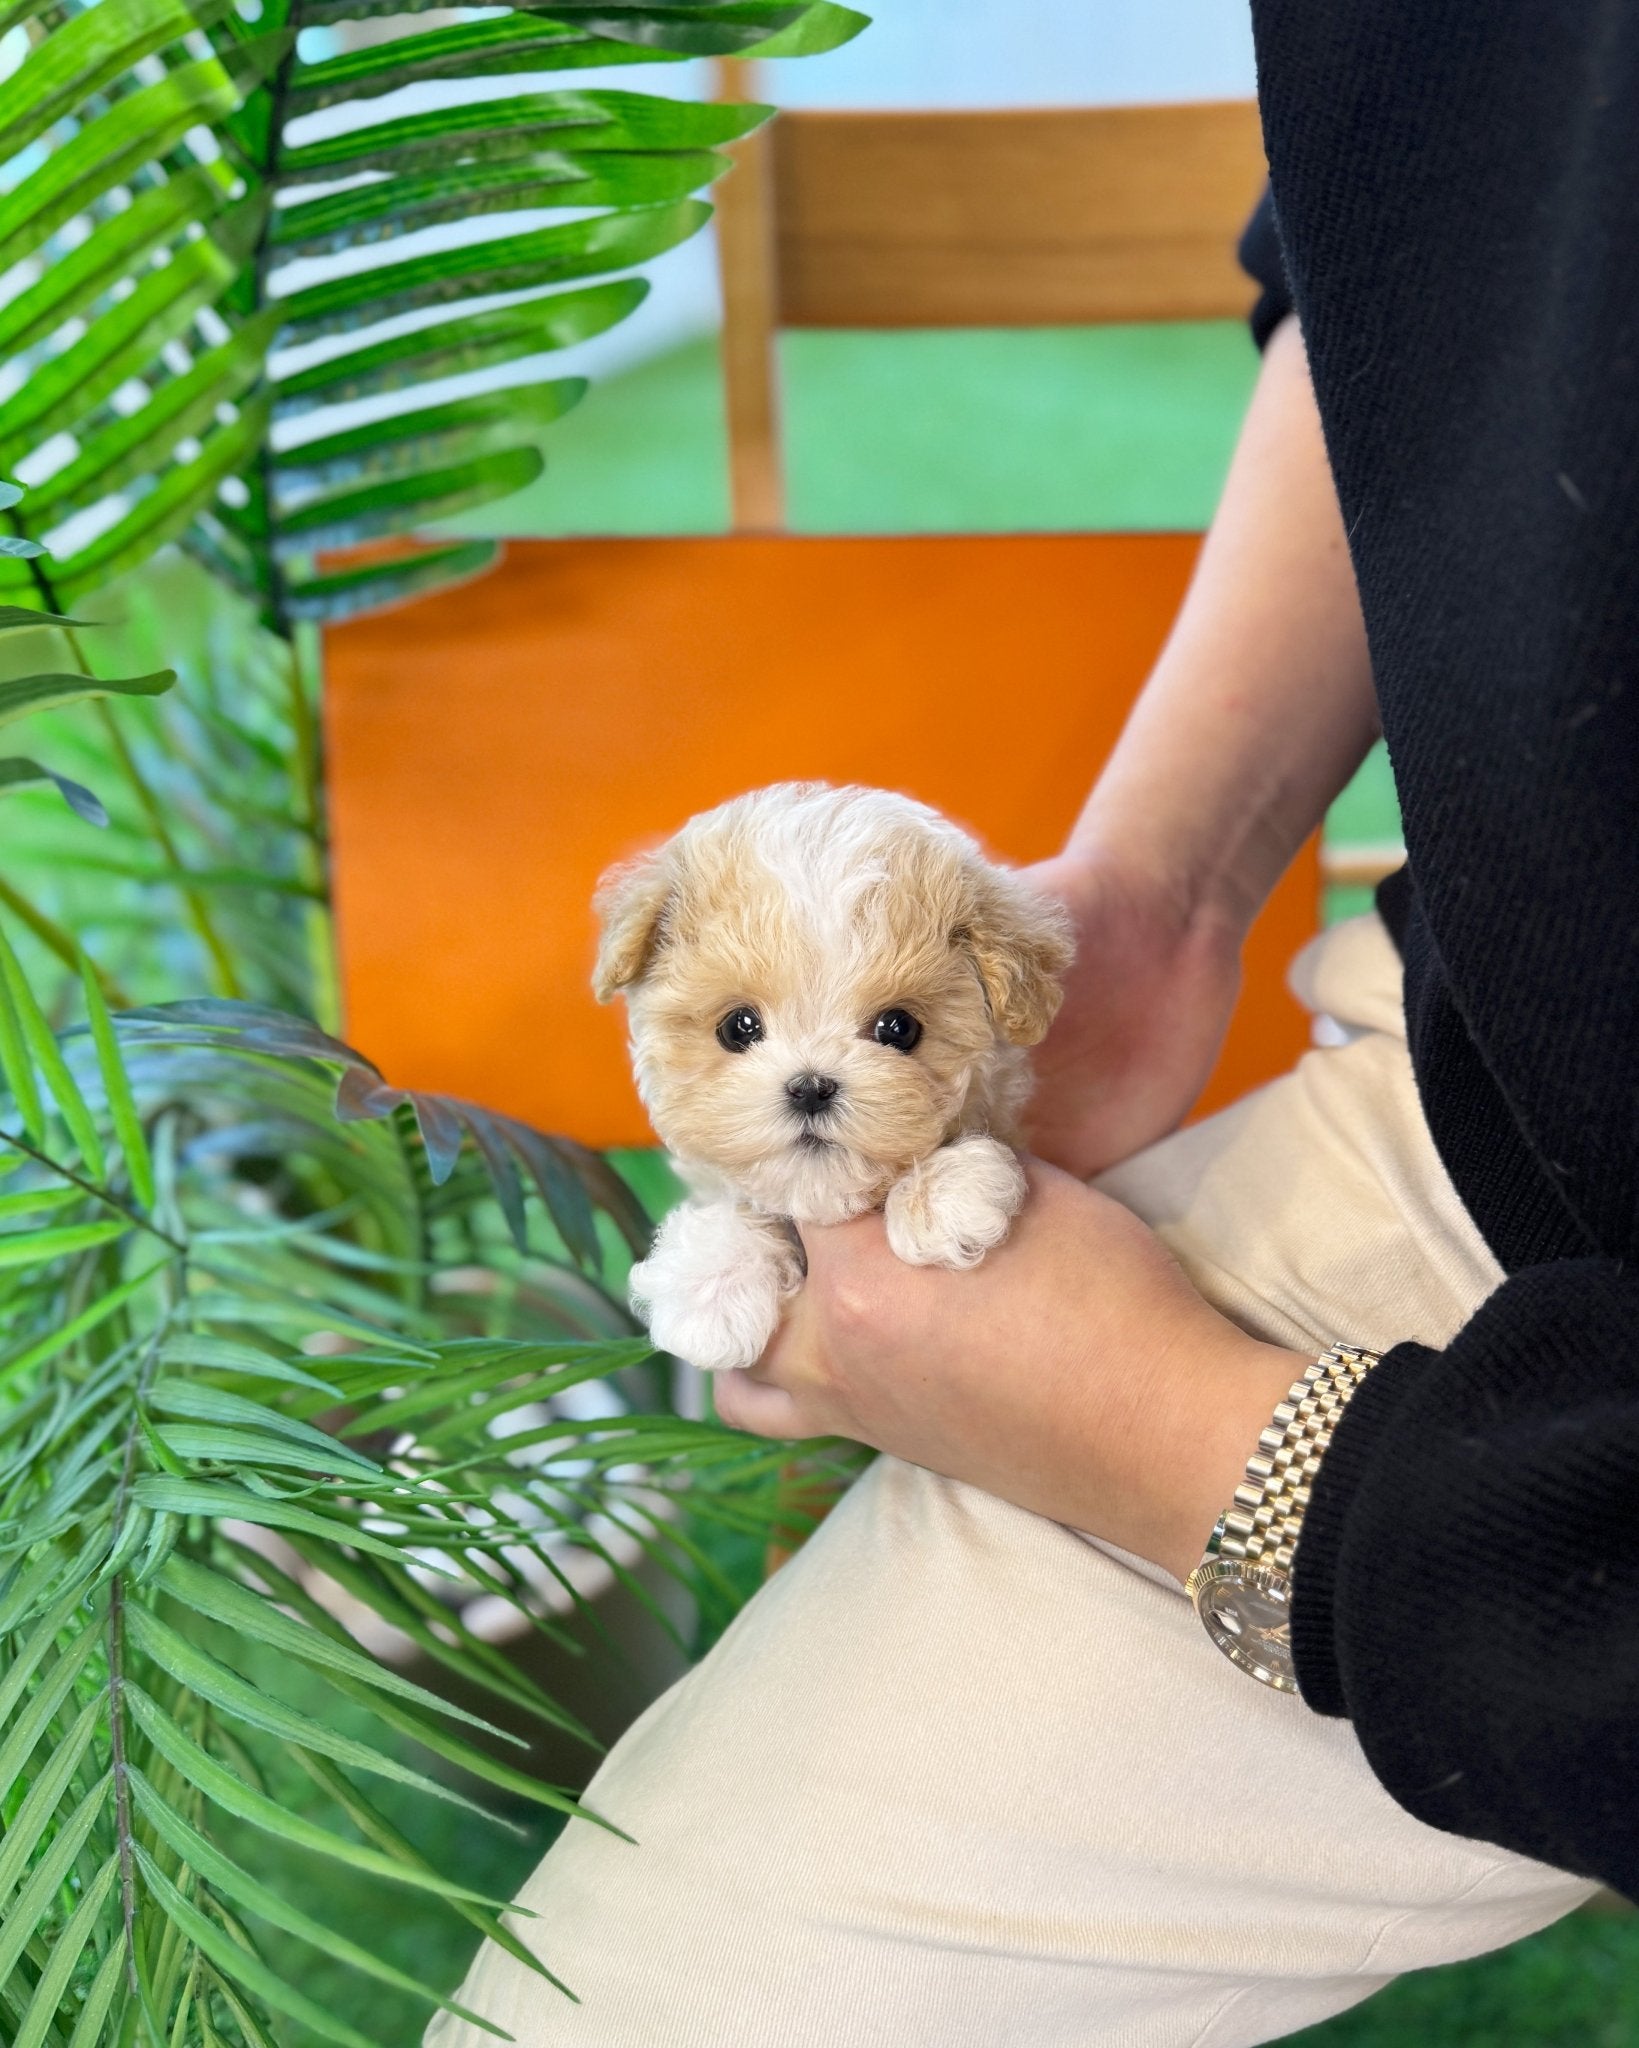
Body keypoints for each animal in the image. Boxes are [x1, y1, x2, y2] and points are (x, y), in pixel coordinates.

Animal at [594, 782, 1073, 1376]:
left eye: (898, 1028)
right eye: (738, 1027)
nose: (810, 1087)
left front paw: (945, 1192)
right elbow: (729, 1207)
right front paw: (710, 1288)